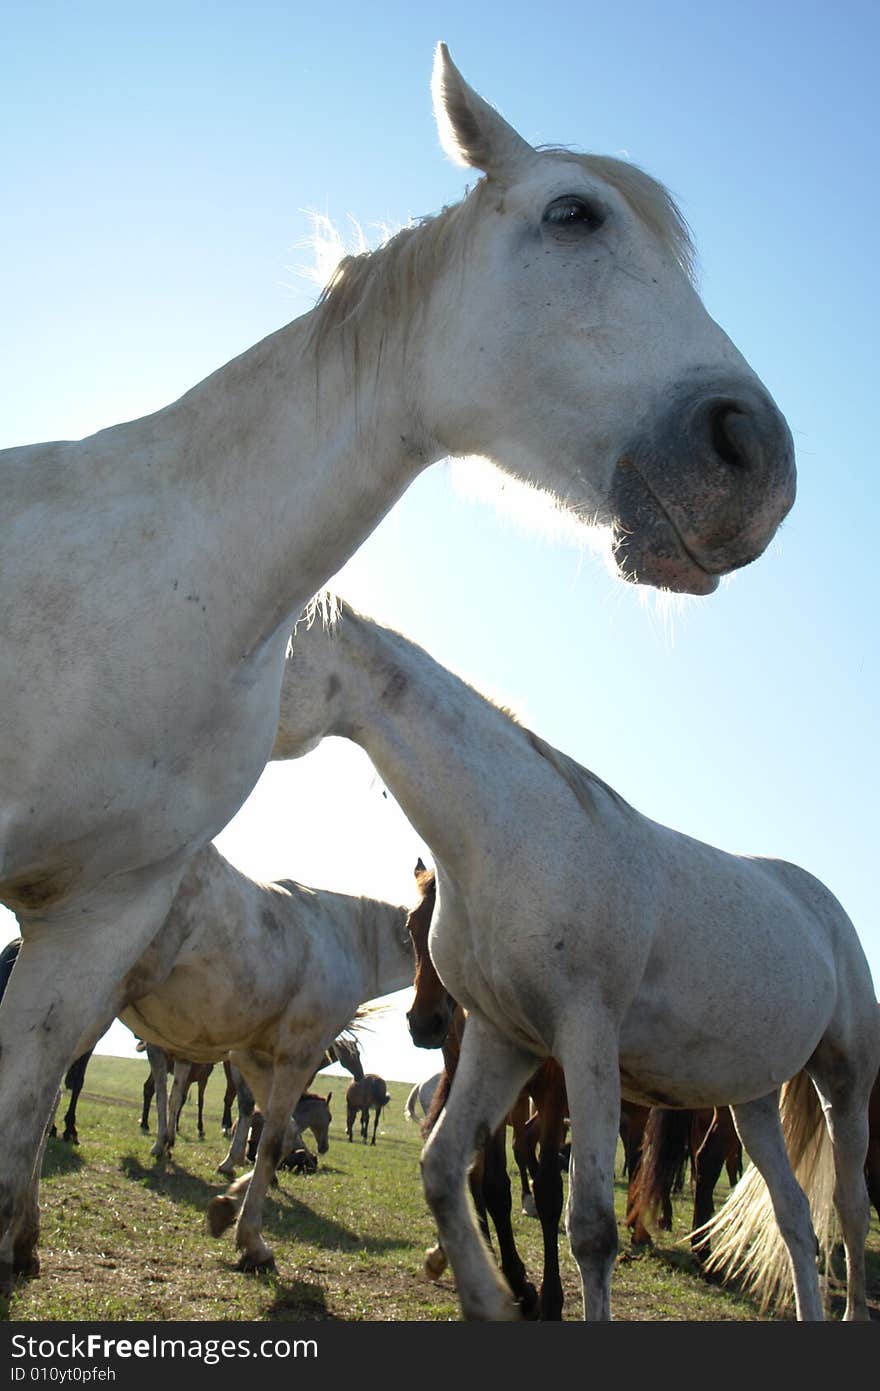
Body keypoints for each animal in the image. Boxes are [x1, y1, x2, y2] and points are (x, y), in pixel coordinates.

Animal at [114, 834, 414, 1274]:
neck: (348, 939)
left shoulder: (253, 1058)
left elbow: (280, 1129)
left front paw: (228, 1198)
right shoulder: (293, 1058)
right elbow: (271, 1136)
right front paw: (250, 1236)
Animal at [272, 603, 878, 1318]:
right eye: (406, 932)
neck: (519, 840)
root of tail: (824, 907)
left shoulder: (585, 1043)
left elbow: (588, 1225)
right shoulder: (500, 1039)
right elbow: (448, 1171)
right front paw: (494, 1293)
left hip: (846, 1084)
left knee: (849, 1209)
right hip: (750, 1100)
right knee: (793, 1216)